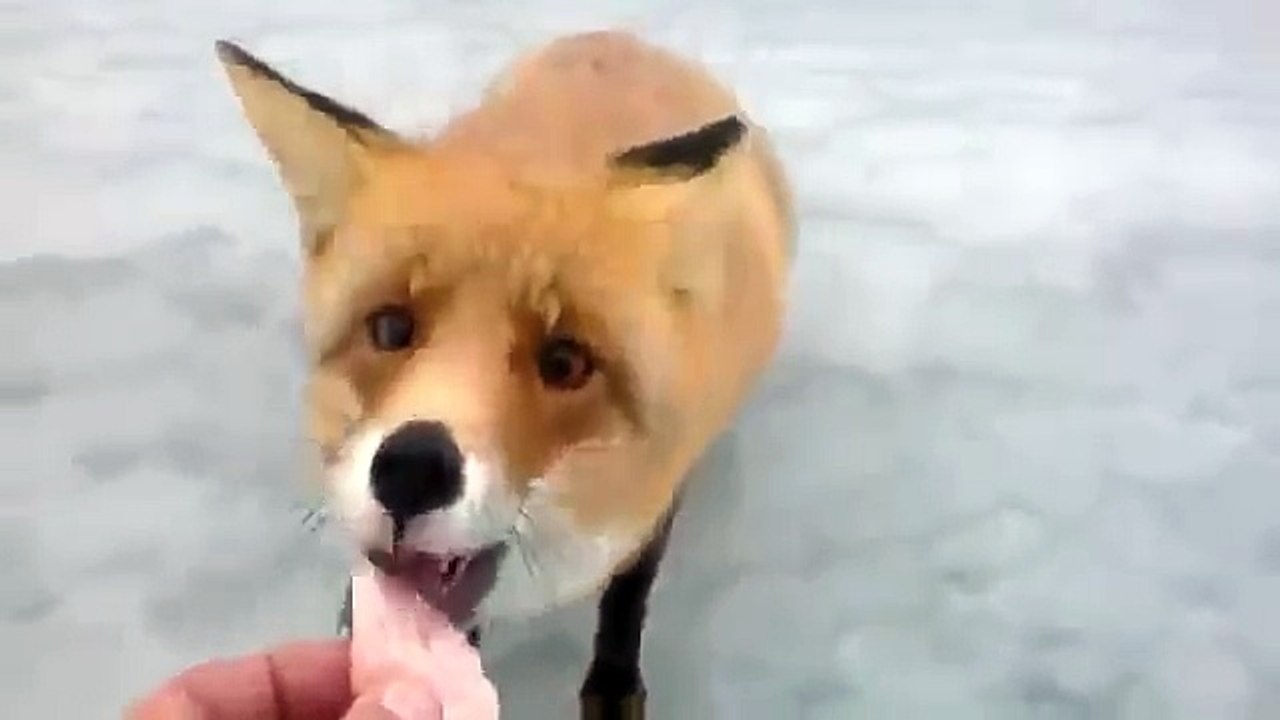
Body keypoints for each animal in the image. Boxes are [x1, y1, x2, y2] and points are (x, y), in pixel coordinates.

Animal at [215, 29, 794, 716]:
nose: (412, 469)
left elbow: (627, 600)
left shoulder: (658, 494)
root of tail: (622, 36)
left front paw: (613, 687)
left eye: (566, 363)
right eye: (390, 329)